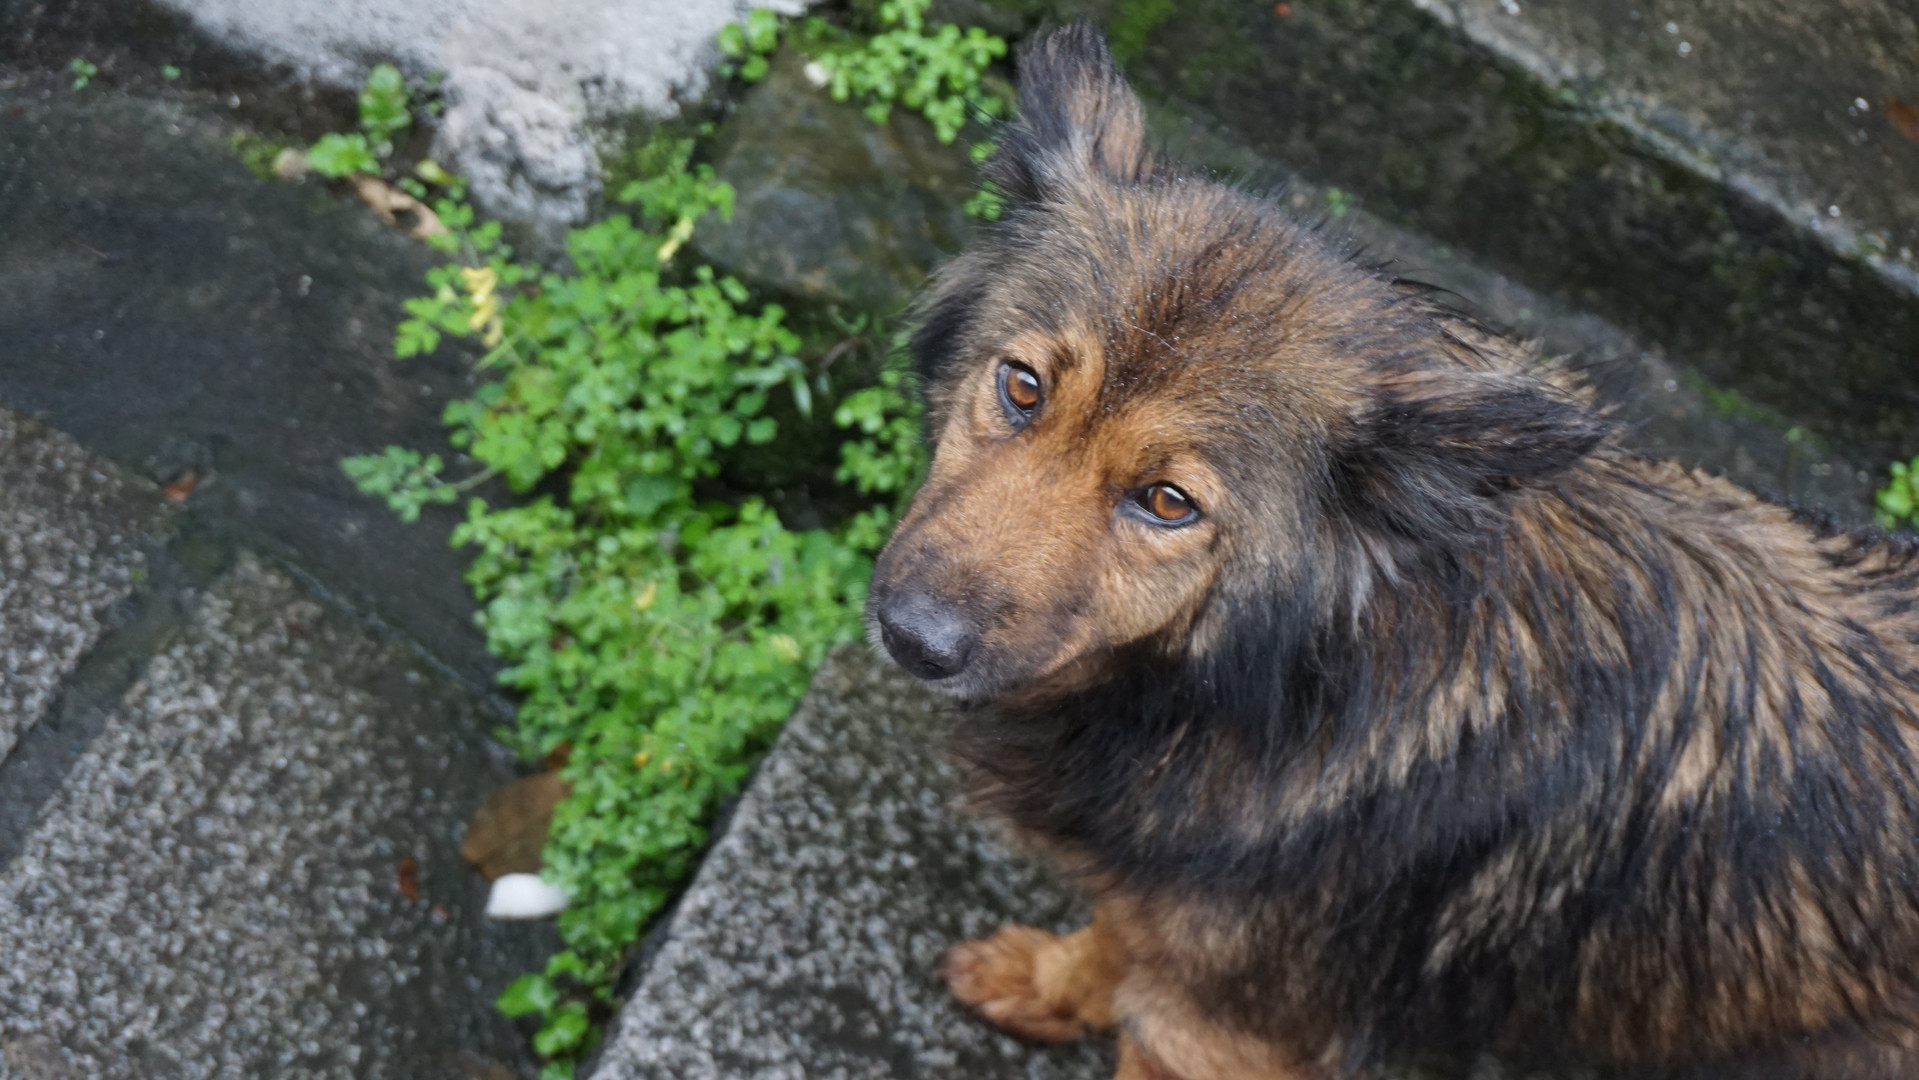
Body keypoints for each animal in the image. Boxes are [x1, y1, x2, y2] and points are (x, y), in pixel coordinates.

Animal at [866, 24, 1919, 1080]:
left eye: (1166, 503)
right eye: (1022, 387)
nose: (909, 637)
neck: (1292, 682)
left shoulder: (1210, 1030)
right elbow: (1113, 933)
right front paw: (1052, 986)